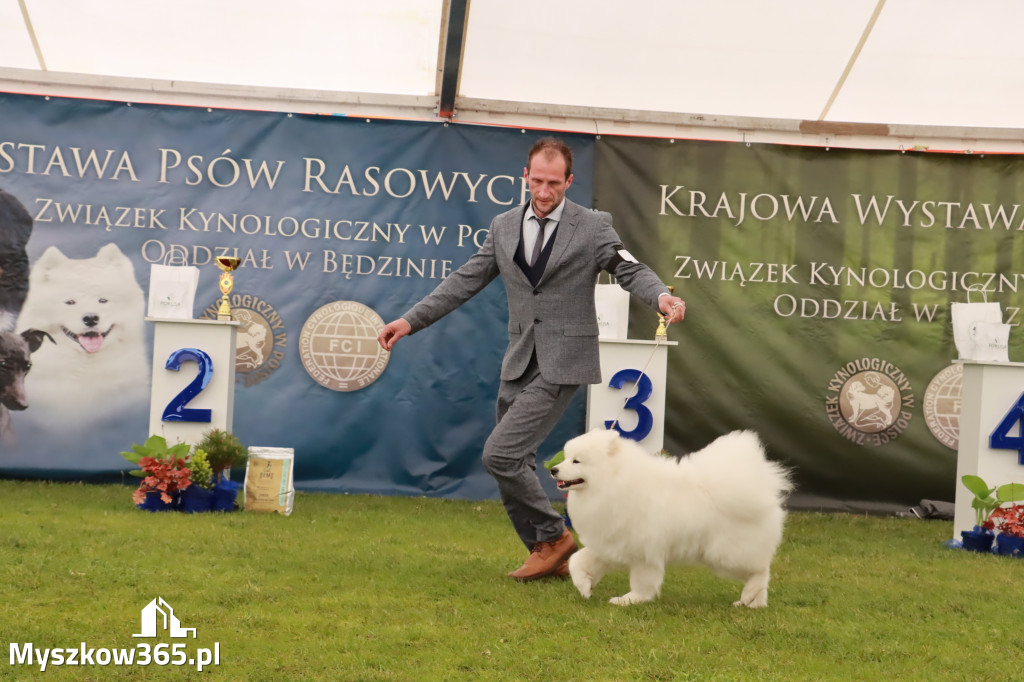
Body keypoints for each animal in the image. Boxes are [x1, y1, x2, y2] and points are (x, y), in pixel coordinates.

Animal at [552, 428, 790, 606]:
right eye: (566, 458)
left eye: (576, 461)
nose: (553, 470)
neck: (613, 481)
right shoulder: (610, 542)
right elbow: (578, 560)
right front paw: (585, 586)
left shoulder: (644, 552)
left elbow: (642, 582)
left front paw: (630, 600)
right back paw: (750, 603)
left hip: (726, 554)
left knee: (761, 571)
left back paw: (750, 595)